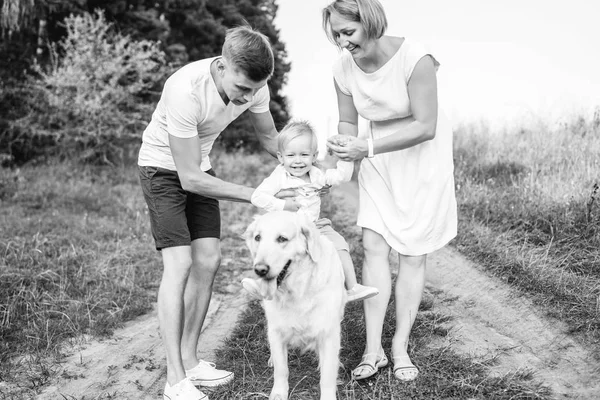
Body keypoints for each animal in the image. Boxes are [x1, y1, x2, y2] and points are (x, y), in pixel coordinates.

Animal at [244, 211, 346, 398]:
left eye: (282, 239)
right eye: (257, 238)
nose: (260, 269)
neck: (298, 290)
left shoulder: (328, 332)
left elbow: (328, 373)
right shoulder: (276, 330)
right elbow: (281, 369)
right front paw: (279, 393)